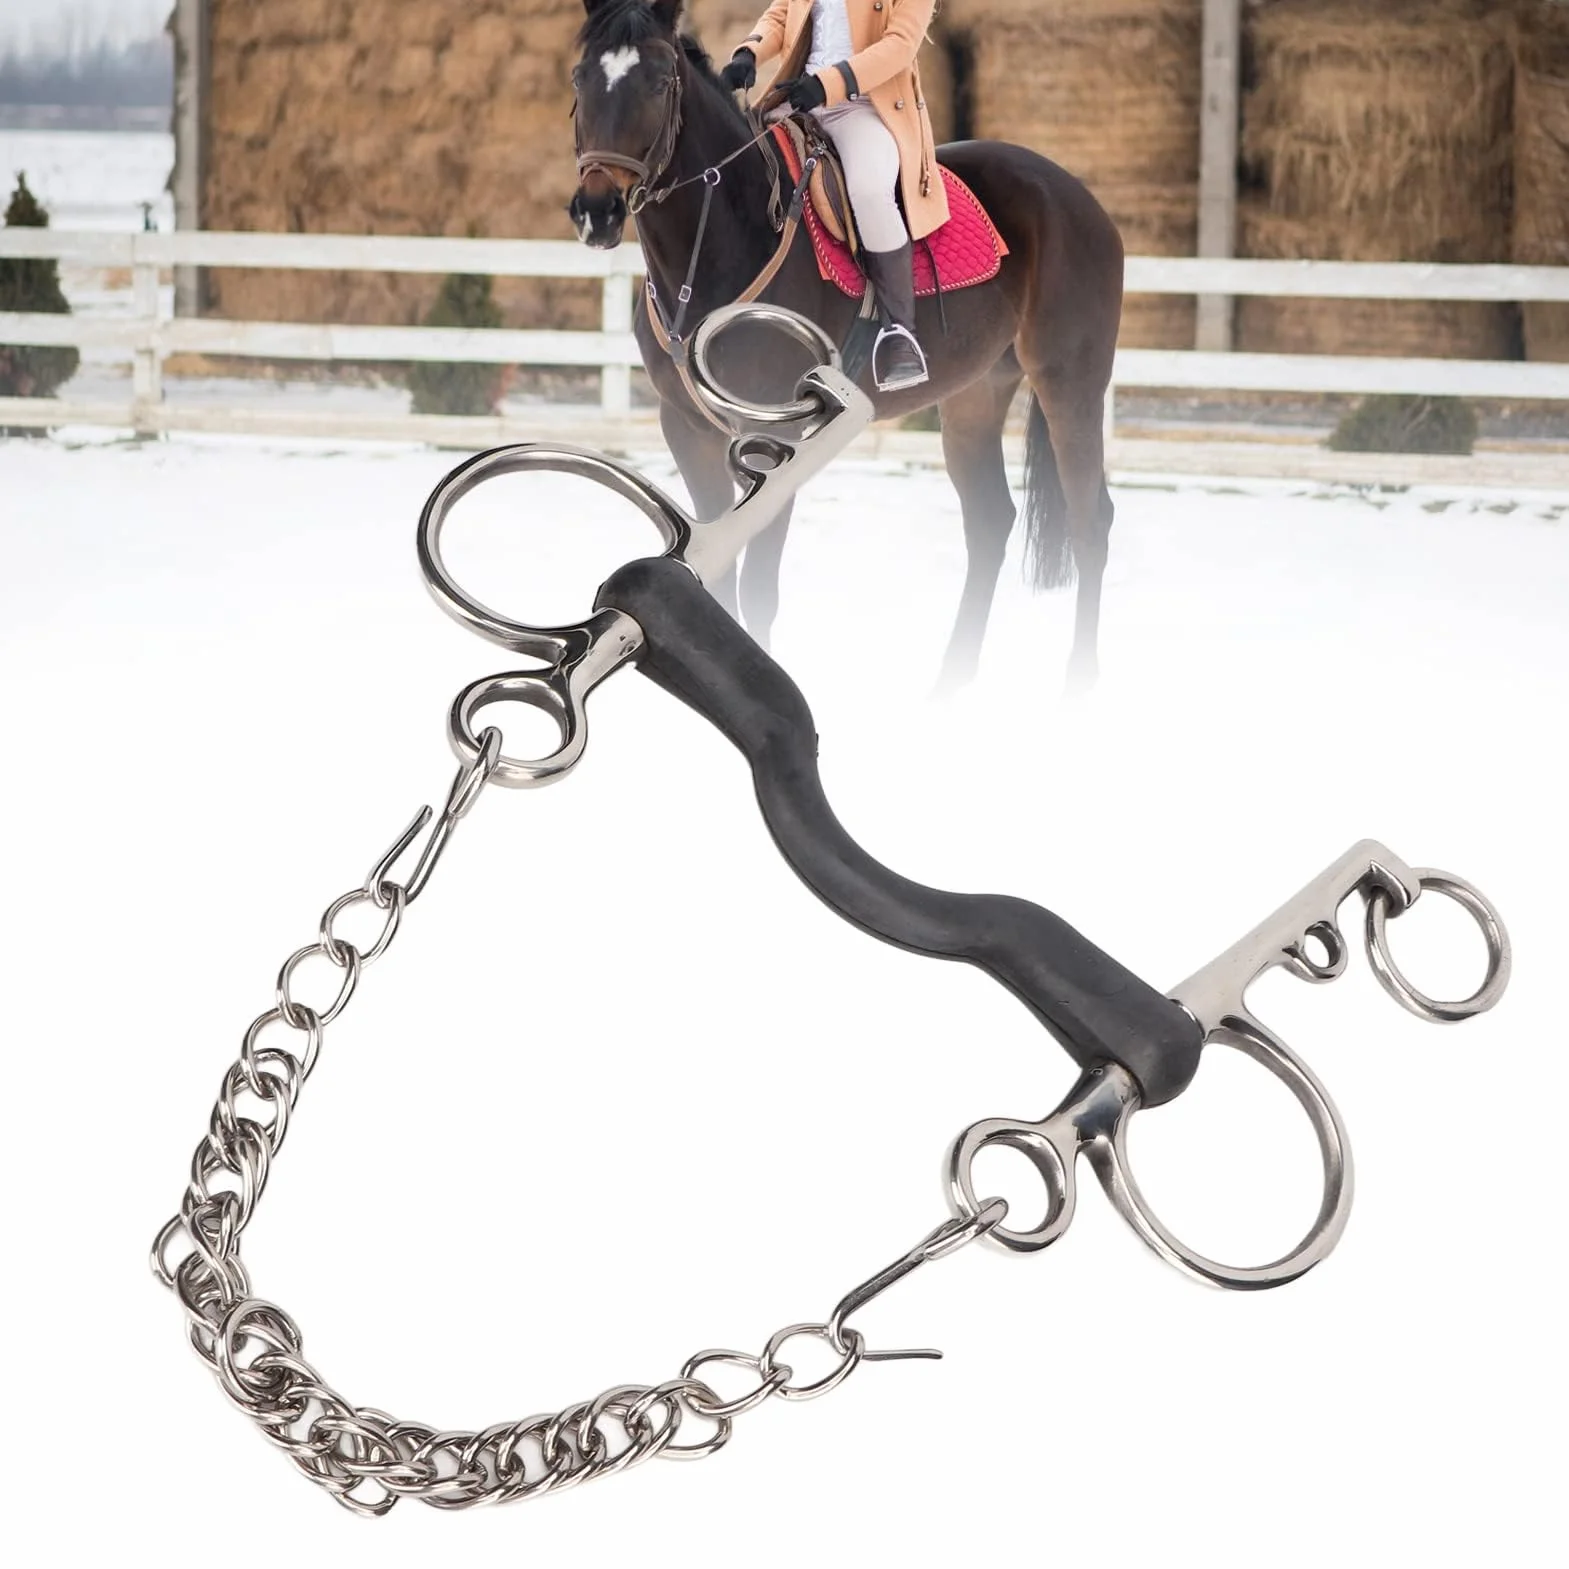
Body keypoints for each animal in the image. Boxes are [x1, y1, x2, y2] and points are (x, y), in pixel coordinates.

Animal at [568, 0, 1124, 693]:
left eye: (658, 82)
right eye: (580, 78)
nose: (596, 210)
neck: (731, 233)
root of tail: (1073, 191)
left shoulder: (778, 439)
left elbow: (759, 584)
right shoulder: (686, 431)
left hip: (1069, 382)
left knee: (1090, 519)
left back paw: (1079, 686)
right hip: (974, 396)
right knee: (990, 521)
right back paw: (950, 687)